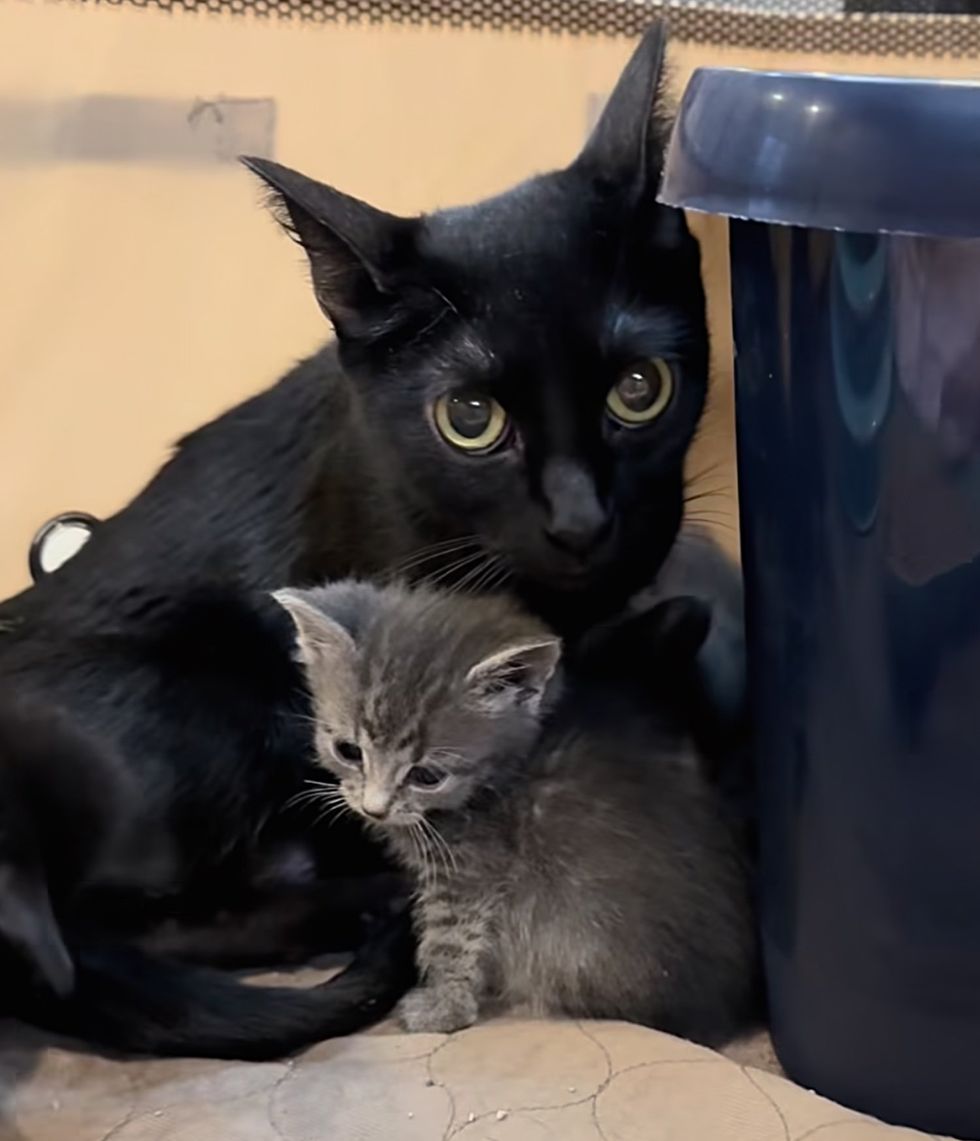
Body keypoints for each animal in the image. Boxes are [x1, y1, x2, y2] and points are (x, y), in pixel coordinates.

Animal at [276, 579, 757, 1045]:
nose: (374, 808)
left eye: (428, 775)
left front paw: (443, 1008)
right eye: (347, 750)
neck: (497, 776)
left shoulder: (473, 869)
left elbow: (450, 937)